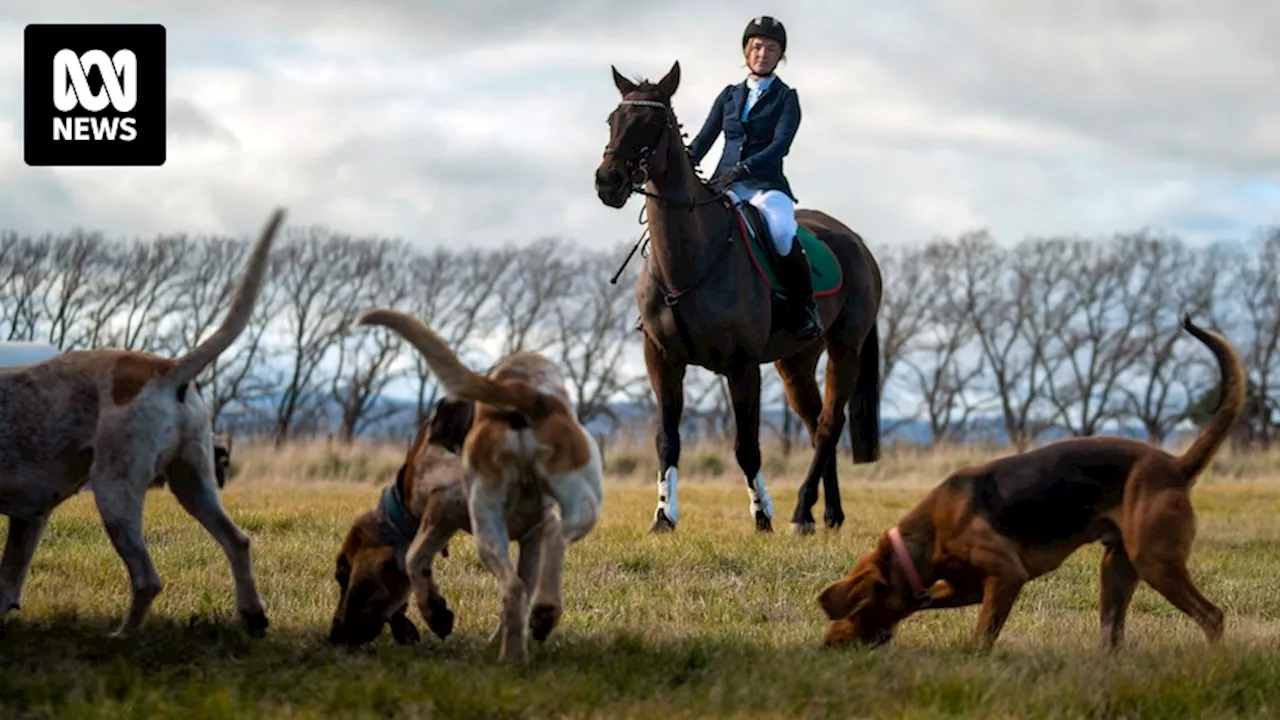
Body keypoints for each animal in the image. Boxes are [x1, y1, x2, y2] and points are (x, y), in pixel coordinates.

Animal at [593, 61, 885, 532]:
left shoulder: (742, 364)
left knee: (828, 423)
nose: (608, 182)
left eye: (653, 124)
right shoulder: (661, 358)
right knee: (815, 422)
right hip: (795, 361)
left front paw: (762, 514)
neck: (687, 260)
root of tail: (856, 242)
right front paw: (663, 517)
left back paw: (801, 511)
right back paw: (828, 515)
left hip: (845, 347)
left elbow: (746, 445)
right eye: (612, 120)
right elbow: (667, 440)